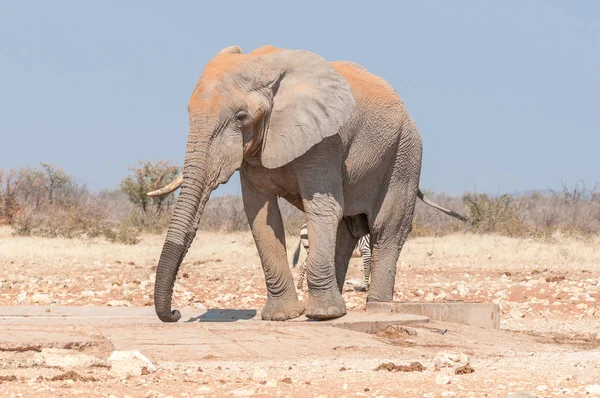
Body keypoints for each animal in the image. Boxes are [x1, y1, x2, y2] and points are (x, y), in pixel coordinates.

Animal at [148, 44, 466, 324]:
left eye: (241, 117)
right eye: (189, 114)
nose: (175, 313)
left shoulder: (325, 139)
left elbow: (322, 209)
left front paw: (322, 316)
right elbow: (261, 216)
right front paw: (283, 316)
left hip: (405, 155)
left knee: (386, 229)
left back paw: (376, 309)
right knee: (347, 230)